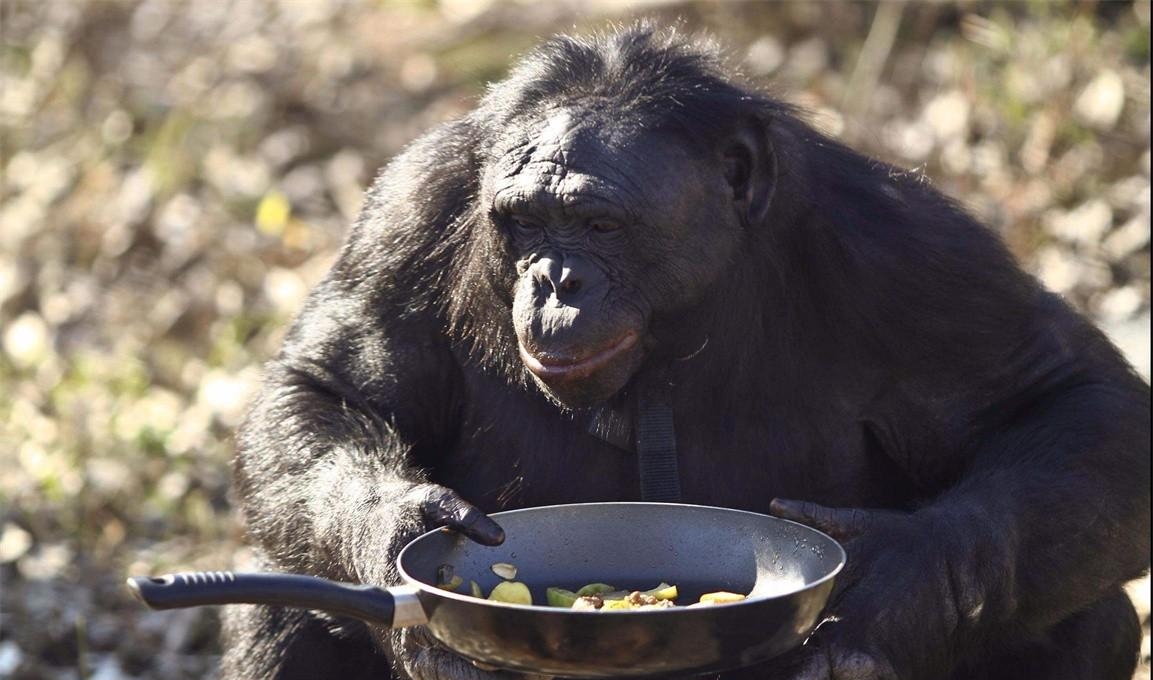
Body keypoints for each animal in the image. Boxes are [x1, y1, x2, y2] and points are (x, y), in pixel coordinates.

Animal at [220, 21, 1148, 680]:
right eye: (524, 222)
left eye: (595, 222)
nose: (553, 281)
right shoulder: (410, 210)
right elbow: (329, 387)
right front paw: (403, 529)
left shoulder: (916, 252)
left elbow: (1071, 398)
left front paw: (897, 581)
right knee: (285, 603)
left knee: (1089, 615)